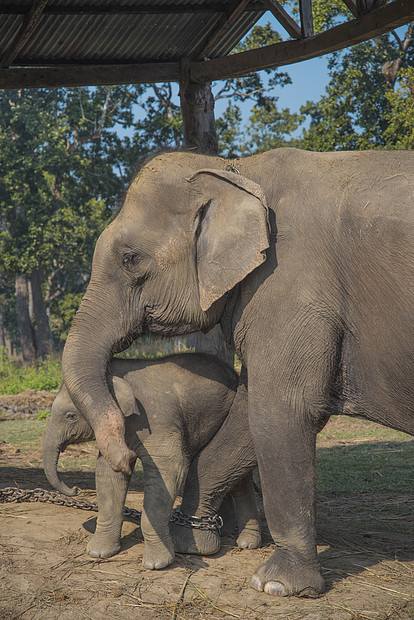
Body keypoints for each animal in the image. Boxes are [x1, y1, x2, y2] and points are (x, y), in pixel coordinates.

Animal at [43, 354, 260, 568]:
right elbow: (108, 475)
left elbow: (169, 471)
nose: (75, 490)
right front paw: (98, 553)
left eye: (70, 416)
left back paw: (246, 542)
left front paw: (156, 563)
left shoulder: (157, 420)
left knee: (238, 477)